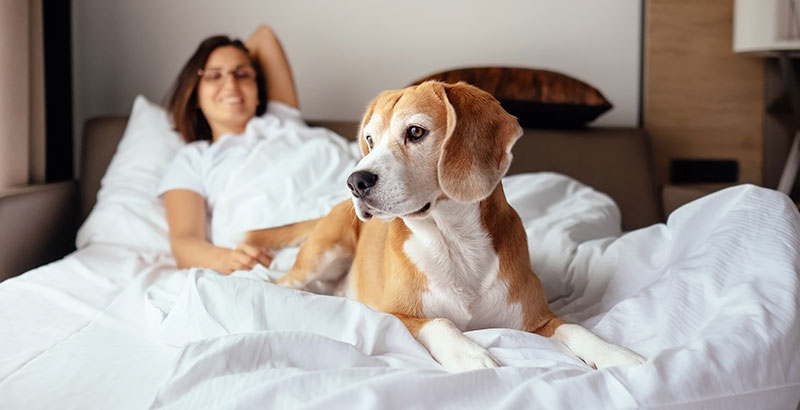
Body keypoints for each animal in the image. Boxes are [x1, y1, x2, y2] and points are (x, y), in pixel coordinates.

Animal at [247, 80, 648, 372]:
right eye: (370, 140)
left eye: (415, 132)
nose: (355, 182)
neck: (453, 241)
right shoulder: (396, 314)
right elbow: (440, 323)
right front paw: (471, 355)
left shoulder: (539, 319)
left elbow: (577, 328)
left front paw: (616, 354)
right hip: (323, 254)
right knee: (282, 282)